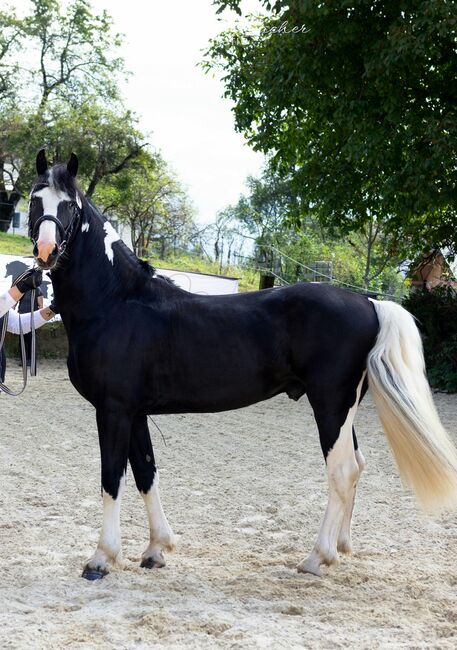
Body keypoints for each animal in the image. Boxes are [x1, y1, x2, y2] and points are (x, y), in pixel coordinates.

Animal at [27, 151, 457, 576]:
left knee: (343, 471)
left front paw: (102, 557)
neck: (117, 301)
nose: (46, 251)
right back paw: (340, 548)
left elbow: (111, 477)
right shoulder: (134, 412)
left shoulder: (113, 409)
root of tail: (369, 302)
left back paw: (316, 557)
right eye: (34, 199)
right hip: (342, 410)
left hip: (330, 405)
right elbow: (146, 472)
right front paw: (156, 549)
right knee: (357, 466)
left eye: (69, 206)